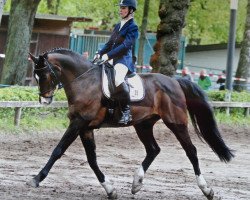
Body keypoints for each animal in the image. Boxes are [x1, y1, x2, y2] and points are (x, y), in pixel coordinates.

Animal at [27, 48, 234, 200]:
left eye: (44, 75)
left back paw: (206, 189)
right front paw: (110, 189)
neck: (84, 81)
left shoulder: (78, 123)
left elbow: (58, 150)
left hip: (176, 123)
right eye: (36, 76)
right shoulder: (85, 128)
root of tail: (175, 81)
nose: (44, 100)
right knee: (153, 149)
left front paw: (36, 179)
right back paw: (136, 183)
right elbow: (92, 160)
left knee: (191, 151)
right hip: (143, 125)